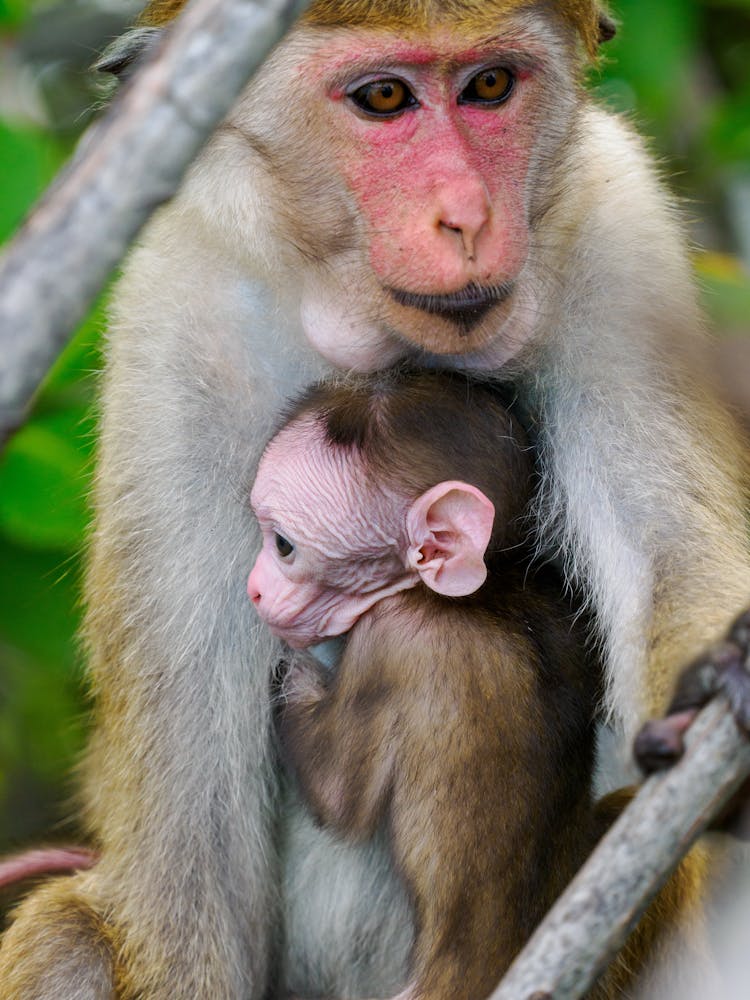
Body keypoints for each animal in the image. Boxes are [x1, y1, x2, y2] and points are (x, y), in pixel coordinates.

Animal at [250, 368, 612, 1000]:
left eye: (284, 546)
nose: (253, 588)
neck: (488, 590)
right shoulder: (565, 607)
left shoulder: (394, 638)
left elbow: (340, 800)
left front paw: (293, 674)